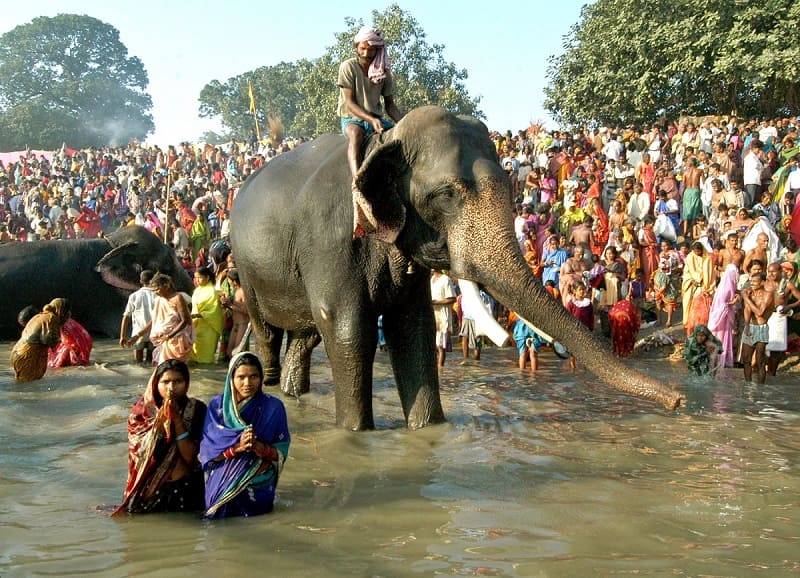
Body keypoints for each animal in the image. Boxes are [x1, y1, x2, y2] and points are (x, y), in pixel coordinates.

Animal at [230, 106, 680, 430]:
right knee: (269, 333)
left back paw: (293, 393)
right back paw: (269, 392)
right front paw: (355, 434)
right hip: (247, 267)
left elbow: (414, 330)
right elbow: (348, 331)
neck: (385, 139)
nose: (678, 400)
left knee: (304, 337)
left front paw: (428, 430)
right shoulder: (331, 242)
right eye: (446, 194)